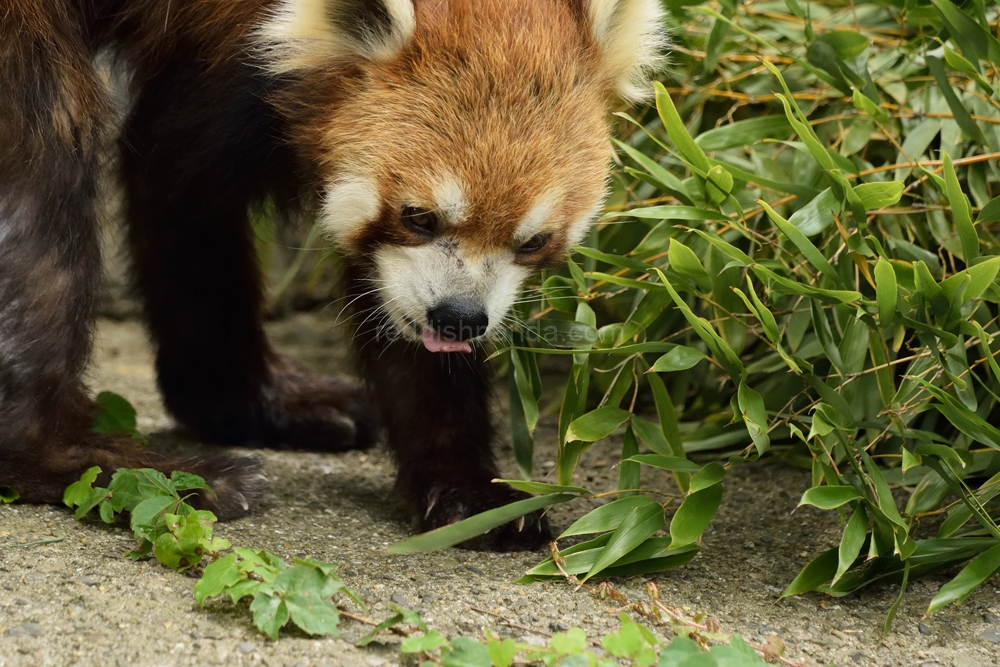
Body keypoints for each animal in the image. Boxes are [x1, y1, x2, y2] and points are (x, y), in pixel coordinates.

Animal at [3, 0, 668, 552]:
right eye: (418, 216)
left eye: (532, 241)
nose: (458, 318)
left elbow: (180, 177)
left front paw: (466, 489)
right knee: (44, 152)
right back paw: (76, 457)